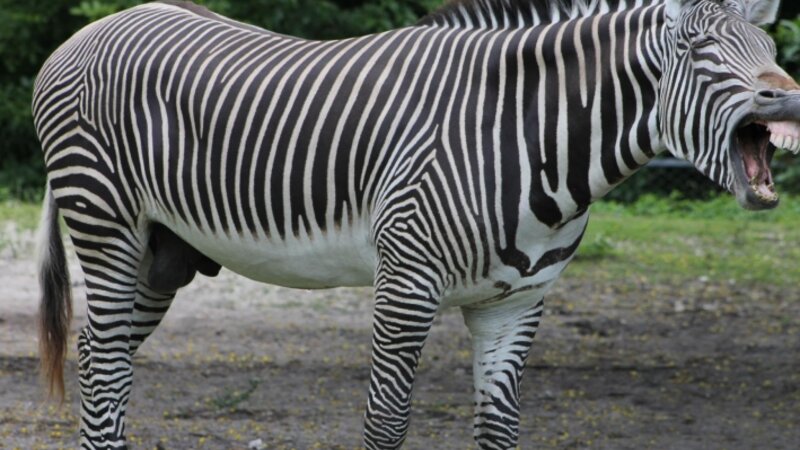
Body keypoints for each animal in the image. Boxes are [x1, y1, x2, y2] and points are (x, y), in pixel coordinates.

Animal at [33, 0, 799, 448]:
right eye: (698, 52)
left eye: (768, 45)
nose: (788, 97)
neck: (525, 138)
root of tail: (95, 27)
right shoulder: (406, 283)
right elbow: (386, 423)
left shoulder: (517, 302)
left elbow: (499, 428)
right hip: (105, 223)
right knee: (104, 363)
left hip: (164, 253)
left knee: (104, 360)